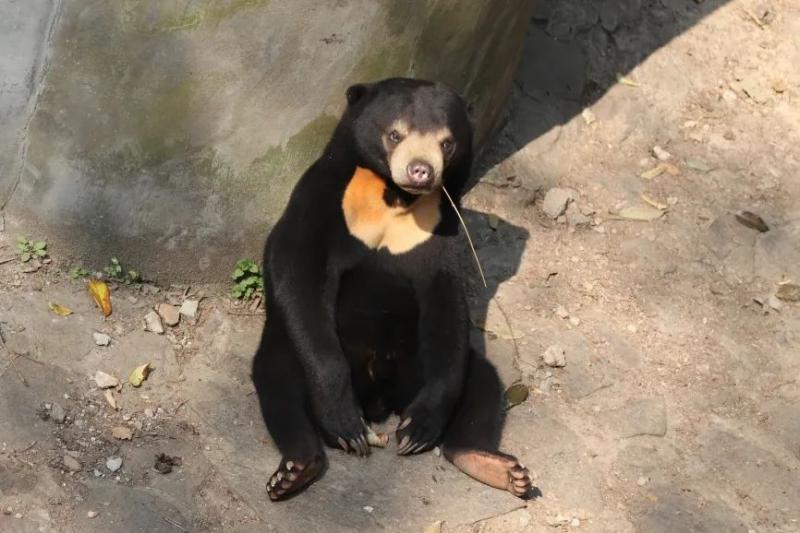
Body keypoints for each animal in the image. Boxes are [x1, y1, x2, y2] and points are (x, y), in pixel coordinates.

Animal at [253, 78, 536, 498]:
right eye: (394, 134)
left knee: (481, 381)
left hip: (417, 364)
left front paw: (418, 429)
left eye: (446, 142)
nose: (421, 172)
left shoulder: (440, 226)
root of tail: (381, 402)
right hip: (293, 352)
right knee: (277, 377)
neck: (392, 197)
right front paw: (344, 421)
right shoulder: (320, 203)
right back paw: (298, 467)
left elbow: (445, 302)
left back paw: (494, 465)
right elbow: (298, 273)